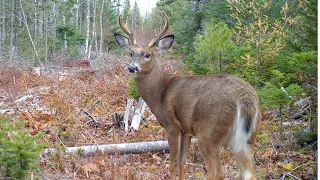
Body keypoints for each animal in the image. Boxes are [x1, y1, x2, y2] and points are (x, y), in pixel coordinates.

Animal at [114, 11, 260, 179]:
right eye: (131, 53)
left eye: (147, 54)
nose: (132, 68)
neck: (159, 91)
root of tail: (245, 97)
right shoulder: (186, 131)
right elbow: (181, 162)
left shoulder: (172, 125)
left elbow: (172, 163)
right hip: (240, 138)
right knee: (249, 172)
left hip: (208, 134)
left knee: (217, 173)